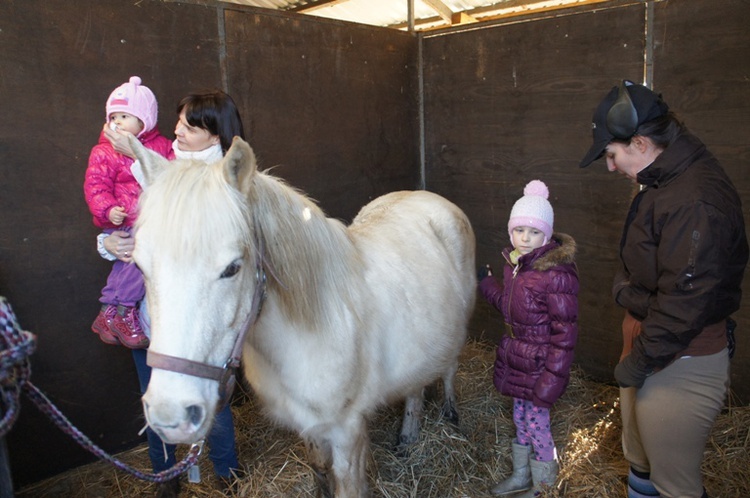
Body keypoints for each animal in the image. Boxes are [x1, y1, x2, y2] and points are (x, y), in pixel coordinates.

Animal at [132, 137, 478, 498]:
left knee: (449, 367)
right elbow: (320, 469)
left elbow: (347, 484)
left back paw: (451, 413)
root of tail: (426, 196)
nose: (170, 415)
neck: (312, 331)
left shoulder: (347, 432)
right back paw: (408, 437)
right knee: (415, 387)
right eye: (139, 266)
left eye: (232, 268)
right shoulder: (310, 426)